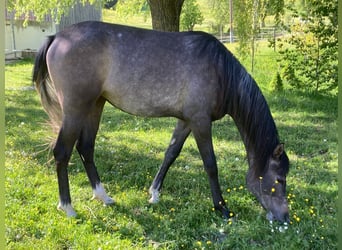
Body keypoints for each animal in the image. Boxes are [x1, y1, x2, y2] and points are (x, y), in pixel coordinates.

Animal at [32, 21, 290, 221]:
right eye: (279, 179)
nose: (285, 218)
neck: (220, 70)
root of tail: (57, 38)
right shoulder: (200, 122)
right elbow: (210, 164)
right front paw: (222, 207)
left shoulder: (186, 121)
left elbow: (171, 154)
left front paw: (154, 193)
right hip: (75, 109)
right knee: (62, 152)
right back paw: (67, 207)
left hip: (95, 105)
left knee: (86, 148)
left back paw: (103, 196)